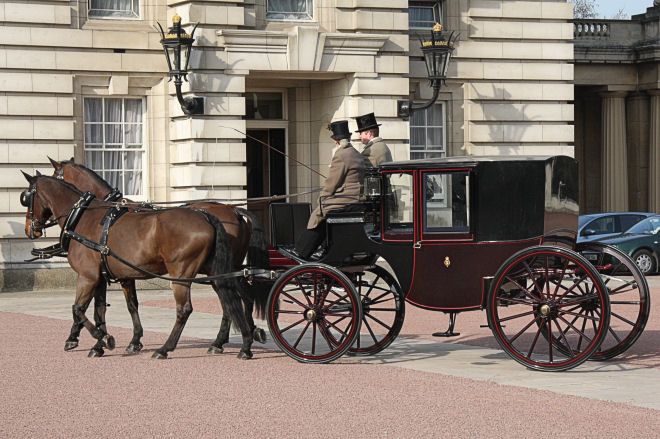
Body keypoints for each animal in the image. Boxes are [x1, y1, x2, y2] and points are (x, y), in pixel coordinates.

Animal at [23, 174, 266, 360]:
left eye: (26, 197)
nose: (29, 229)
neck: (83, 216)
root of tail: (213, 215)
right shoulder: (106, 277)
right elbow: (103, 310)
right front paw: (103, 343)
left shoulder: (88, 276)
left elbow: (78, 309)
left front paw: (99, 338)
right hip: (218, 271)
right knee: (232, 299)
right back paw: (243, 341)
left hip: (182, 274)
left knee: (187, 309)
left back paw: (166, 348)